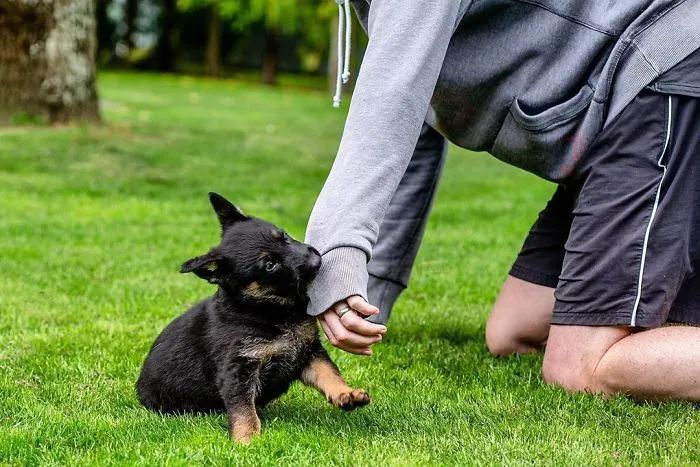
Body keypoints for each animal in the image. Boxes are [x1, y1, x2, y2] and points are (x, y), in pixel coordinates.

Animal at [133, 193, 370, 442]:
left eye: (284, 237)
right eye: (270, 265)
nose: (316, 260)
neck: (267, 309)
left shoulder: (308, 351)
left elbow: (328, 373)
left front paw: (346, 393)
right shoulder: (238, 368)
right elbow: (243, 408)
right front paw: (247, 440)